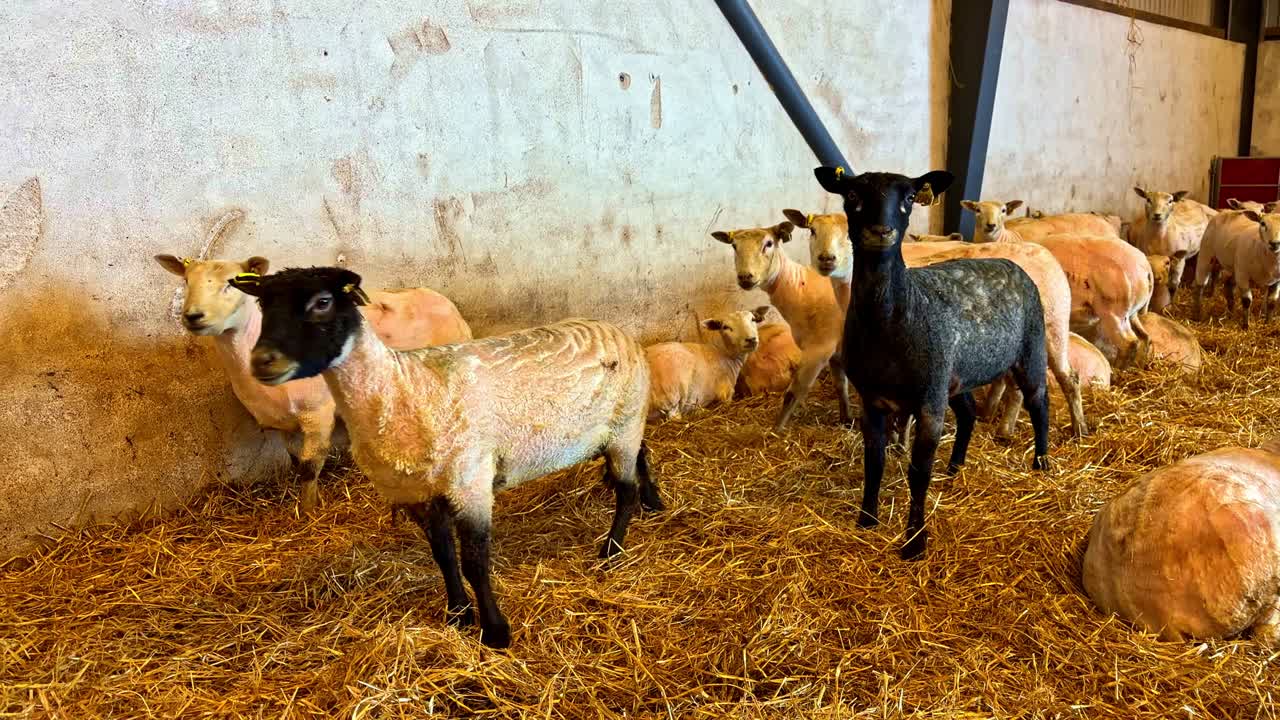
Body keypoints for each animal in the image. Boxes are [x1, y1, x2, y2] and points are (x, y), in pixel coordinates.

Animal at [155, 254, 472, 514]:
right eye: (186, 281)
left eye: (231, 285)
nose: (193, 316)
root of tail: (445, 301)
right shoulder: (283, 423)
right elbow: (296, 461)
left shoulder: (316, 411)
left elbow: (310, 465)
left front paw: (308, 510)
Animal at [229, 267, 662, 648]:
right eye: (264, 305)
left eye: (322, 302)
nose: (262, 361)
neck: (402, 388)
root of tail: (615, 329)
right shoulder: (419, 494)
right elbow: (443, 556)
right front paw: (457, 614)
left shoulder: (469, 484)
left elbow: (474, 562)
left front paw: (495, 632)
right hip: (622, 426)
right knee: (641, 454)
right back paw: (653, 500)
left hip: (624, 423)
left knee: (624, 491)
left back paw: (612, 550)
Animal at [710, 222, 852, 431]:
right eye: (734, 246)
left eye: (769, 244)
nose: (745, 277)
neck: (800, 287)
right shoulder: (835, 350)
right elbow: (841, 386)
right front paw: (846, 420)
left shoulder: (819, 348)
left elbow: (793, 393)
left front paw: (775, 430)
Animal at [814, 167, 1050, 560]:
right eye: (851, 195)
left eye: (910, 197)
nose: (880, 232)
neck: (894, 319)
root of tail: (1010, 263)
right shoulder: (872, 399)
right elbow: (874, 461)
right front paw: (867, 520)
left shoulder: (929, 403)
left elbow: (918, 472)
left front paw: (914, 542)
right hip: (955, 376)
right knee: (969, 413)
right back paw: (955, 468)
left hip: (1030, 349)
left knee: (1039, 403)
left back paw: (1042, 462)